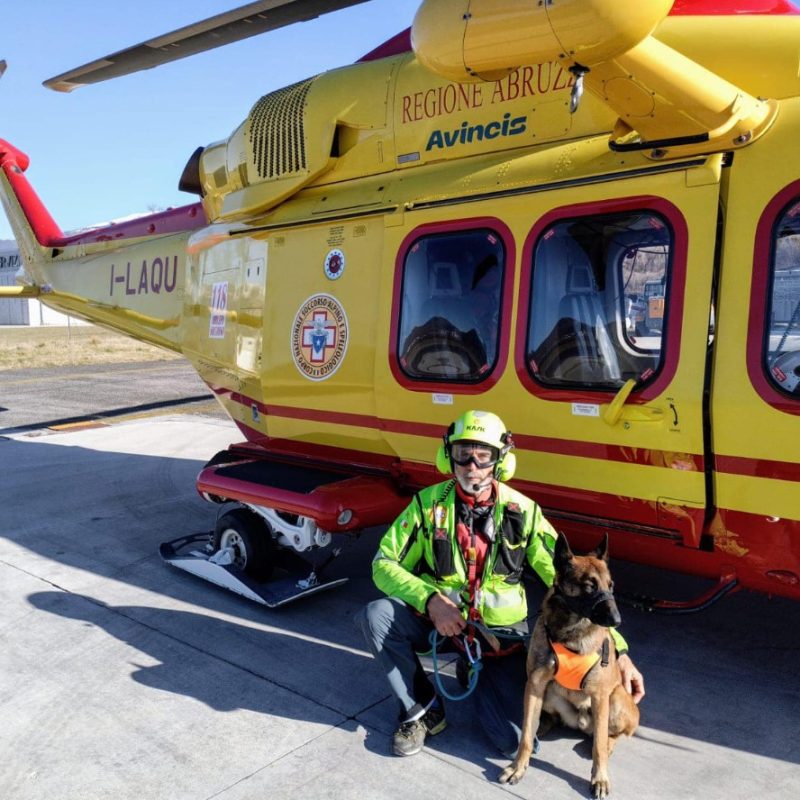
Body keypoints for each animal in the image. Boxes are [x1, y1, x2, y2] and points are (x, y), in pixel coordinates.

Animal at [500, 532, 636, 800]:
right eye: (589, 586)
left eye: (611, 586)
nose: (617, 621)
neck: (570, 633)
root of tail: (581, 724)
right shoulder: (535, 685)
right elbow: (525, 736)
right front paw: (518, 767)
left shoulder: (600, 695)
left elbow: (598, 748)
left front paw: (599, 778)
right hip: (549, 693)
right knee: (548, 720)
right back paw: (541, 726)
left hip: (614, 699)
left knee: (612, 735)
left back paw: (607, 743)